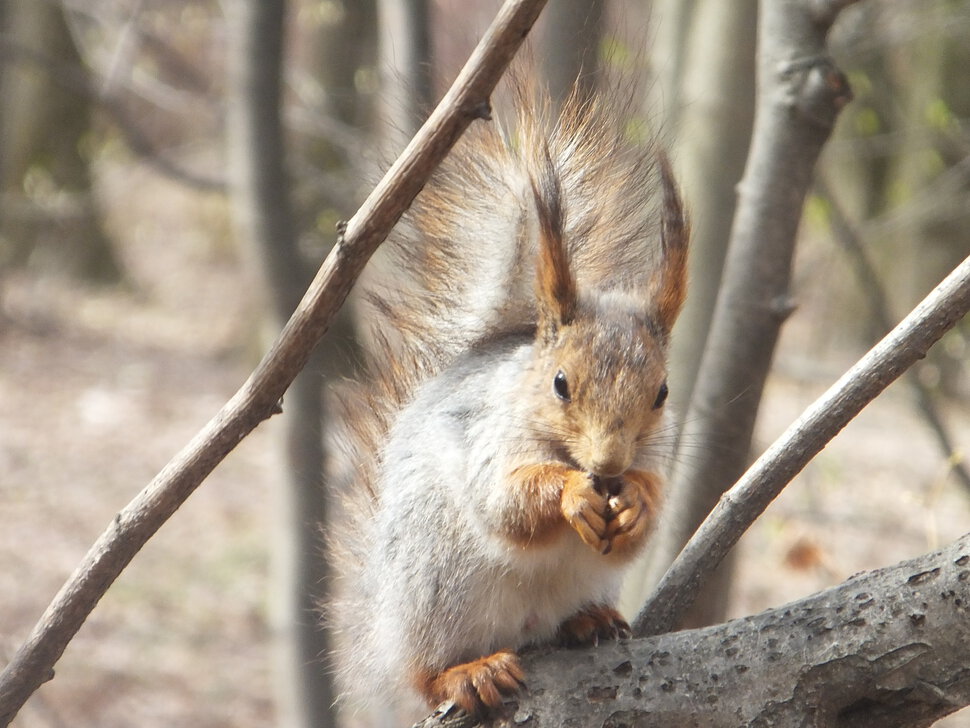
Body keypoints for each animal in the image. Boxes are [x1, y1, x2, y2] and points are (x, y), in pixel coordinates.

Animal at [328, 78, 688, 724]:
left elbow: (647, 515)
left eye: (662, 393)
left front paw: (637, 503)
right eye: (560, 384)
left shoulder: (653, 455)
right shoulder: (487, 439)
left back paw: (589, 622)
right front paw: (572, 495)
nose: (608, 466)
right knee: (424, 673)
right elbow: (506, 503)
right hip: (434, 583)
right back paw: (467, 673)